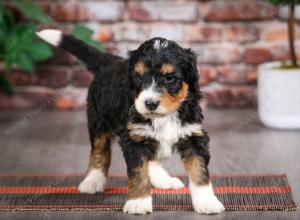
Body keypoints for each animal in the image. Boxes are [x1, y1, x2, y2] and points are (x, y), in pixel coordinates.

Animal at [36, 29, 225, 215]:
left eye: (169, 78)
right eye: (139, 77)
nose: (150, 103)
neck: (163, 117)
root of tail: (110, 61)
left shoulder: (193, 135)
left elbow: (199, 170)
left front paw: (207, 201)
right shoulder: (134, 139)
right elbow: (138, 173)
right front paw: (138, 203)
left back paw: (163, 180)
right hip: (98, 120)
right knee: (99, 151)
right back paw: (93, 180)